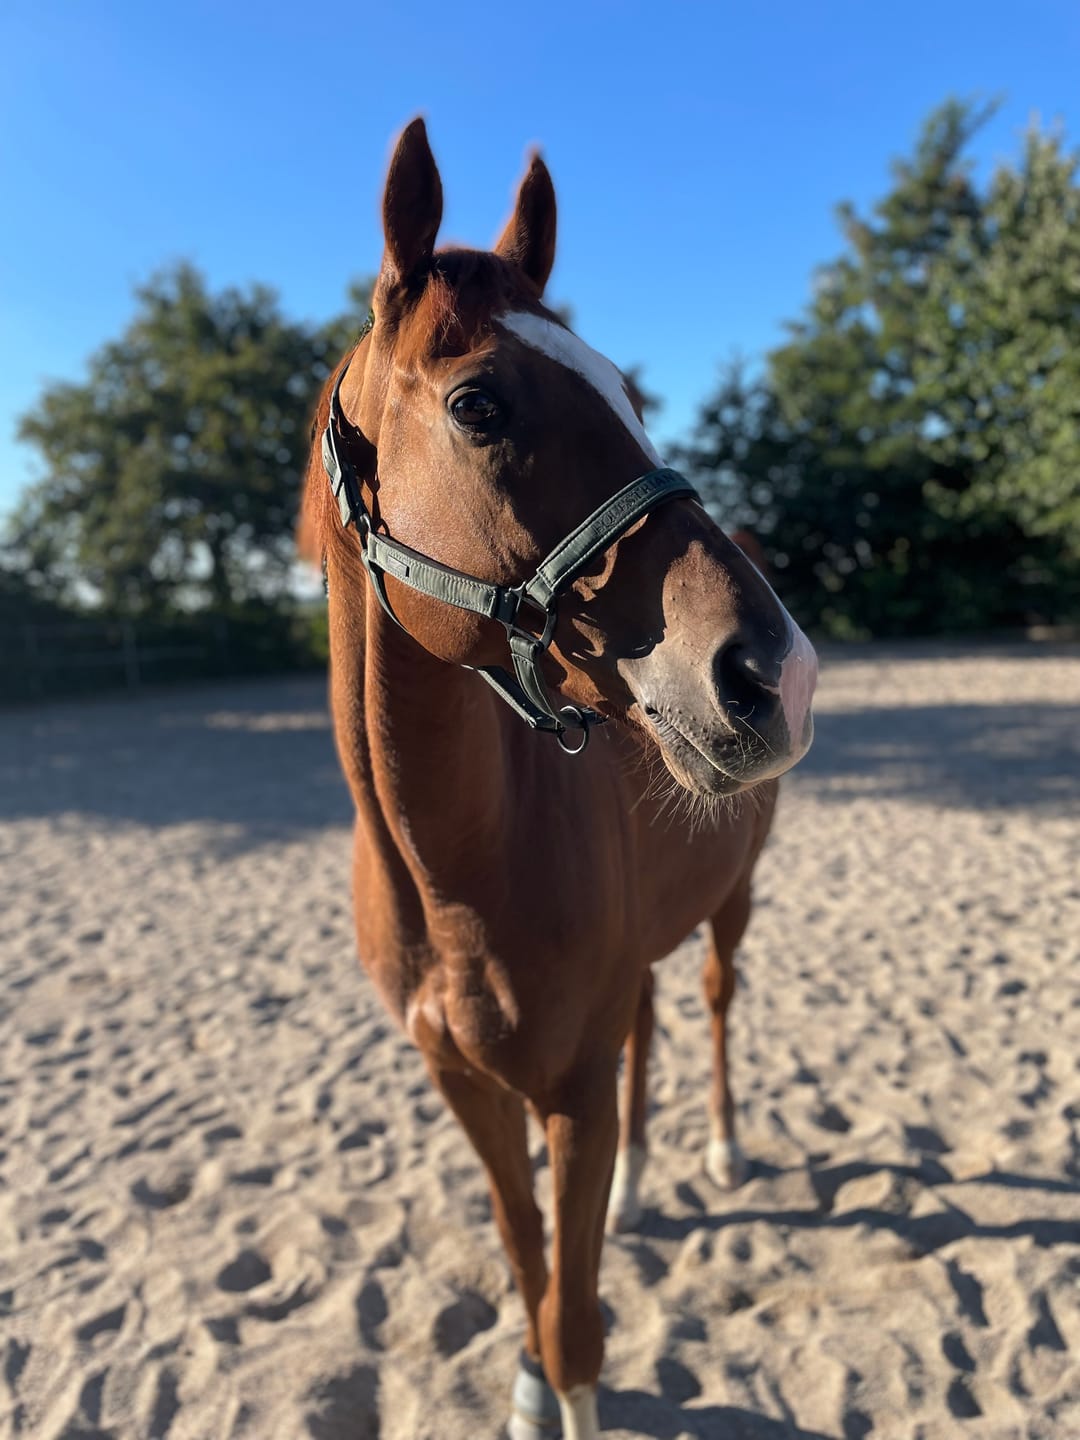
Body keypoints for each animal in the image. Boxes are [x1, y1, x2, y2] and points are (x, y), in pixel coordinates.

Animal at [299, 118, 818, 1440]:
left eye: (629, 395)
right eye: (478, 404)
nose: (775, 673)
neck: (453, 870)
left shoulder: (568, 1088)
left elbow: (578, 1323)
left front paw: (562, 1380)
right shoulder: (469, 1088)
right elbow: (531, 1260)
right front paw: (530, 1378)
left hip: (735, 902)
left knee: (713, 1003)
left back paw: (722, 1151)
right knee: (651, 1024)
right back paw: (638, 1186)